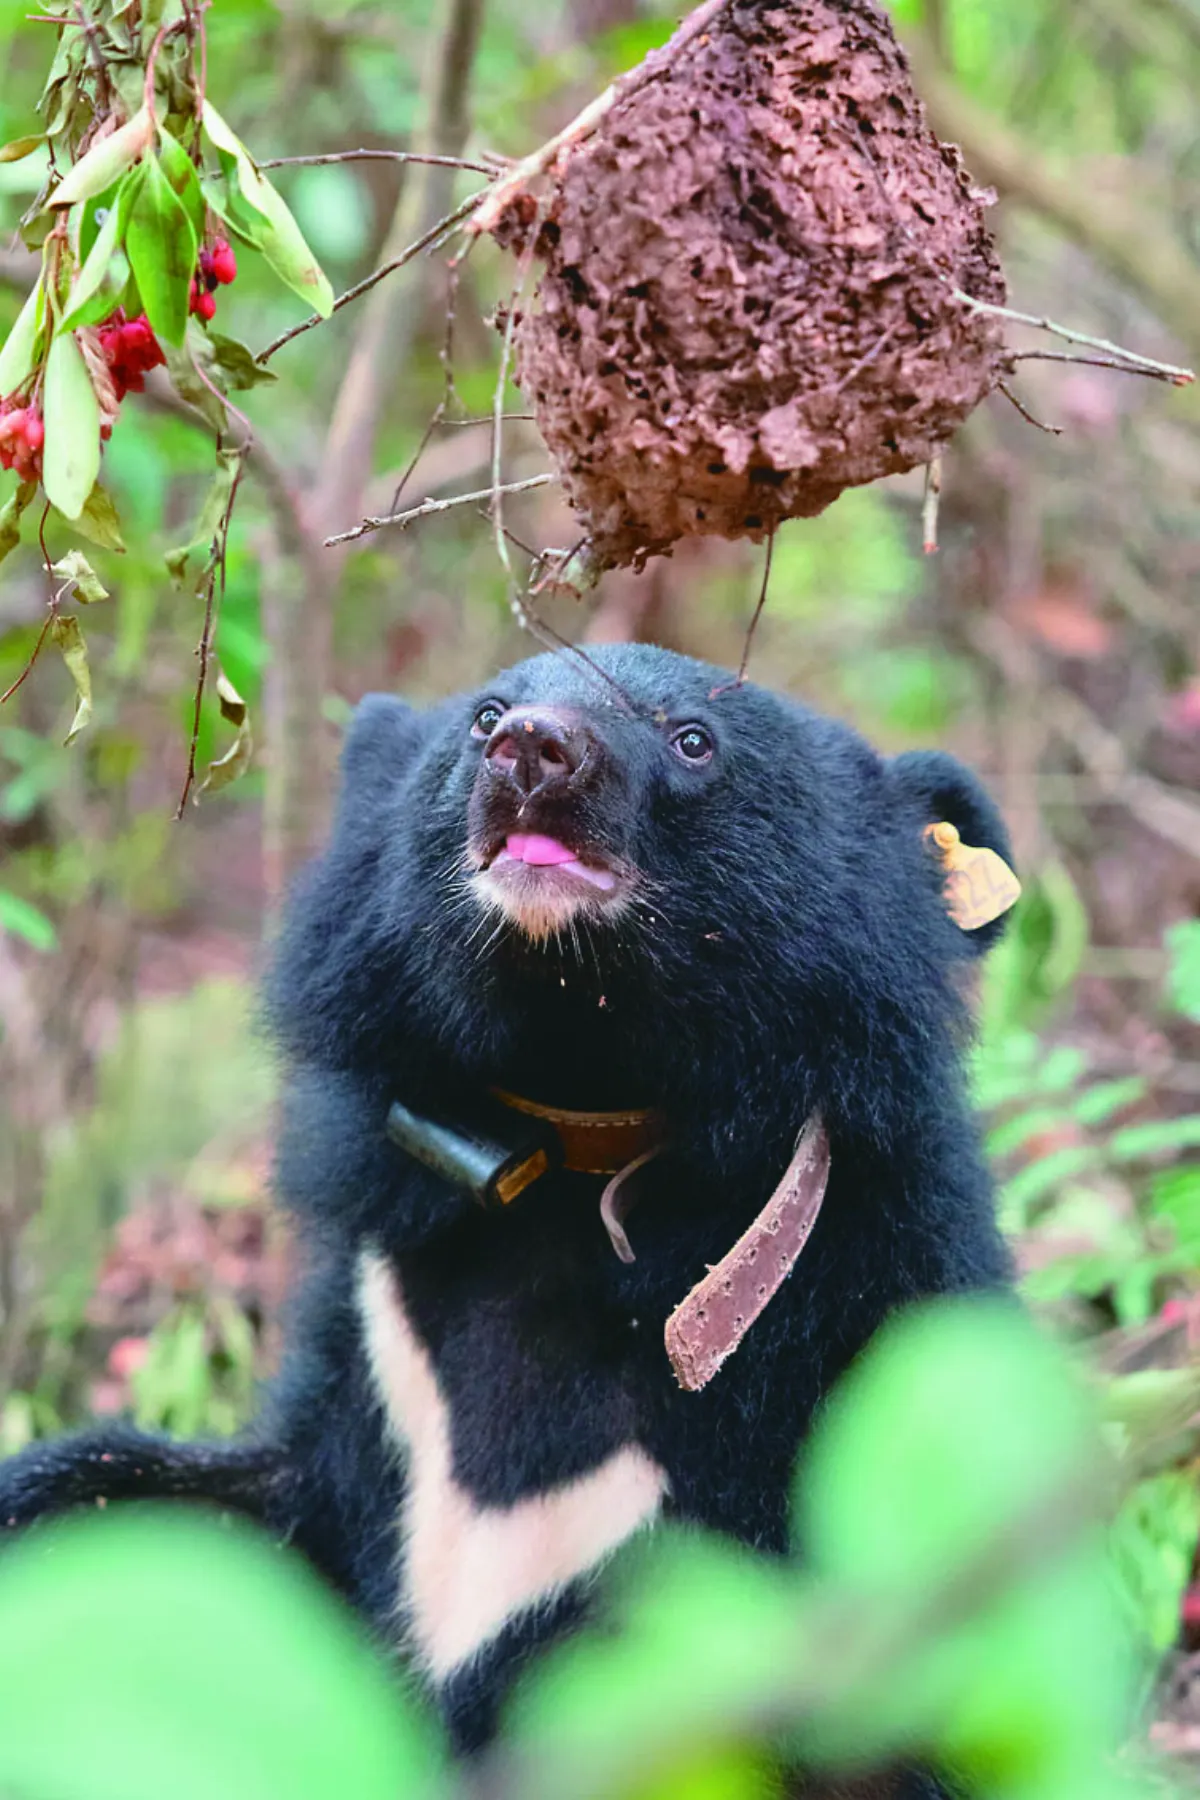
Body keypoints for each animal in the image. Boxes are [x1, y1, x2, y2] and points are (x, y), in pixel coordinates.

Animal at [0, 642, 1017, 1761]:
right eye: (485, 715)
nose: (535, 748)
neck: (575, 1127)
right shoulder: (380, 1347)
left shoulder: (827, 1357)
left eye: (692, 739)